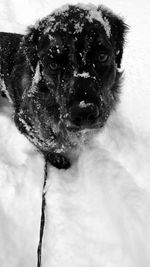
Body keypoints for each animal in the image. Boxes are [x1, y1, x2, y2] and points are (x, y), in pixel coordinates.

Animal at [0, 4, 127, 170]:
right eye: (53, 65)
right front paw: (55, 157)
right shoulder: (23, 122)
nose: (84, 113)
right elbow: (46, 144)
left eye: (102, 57)